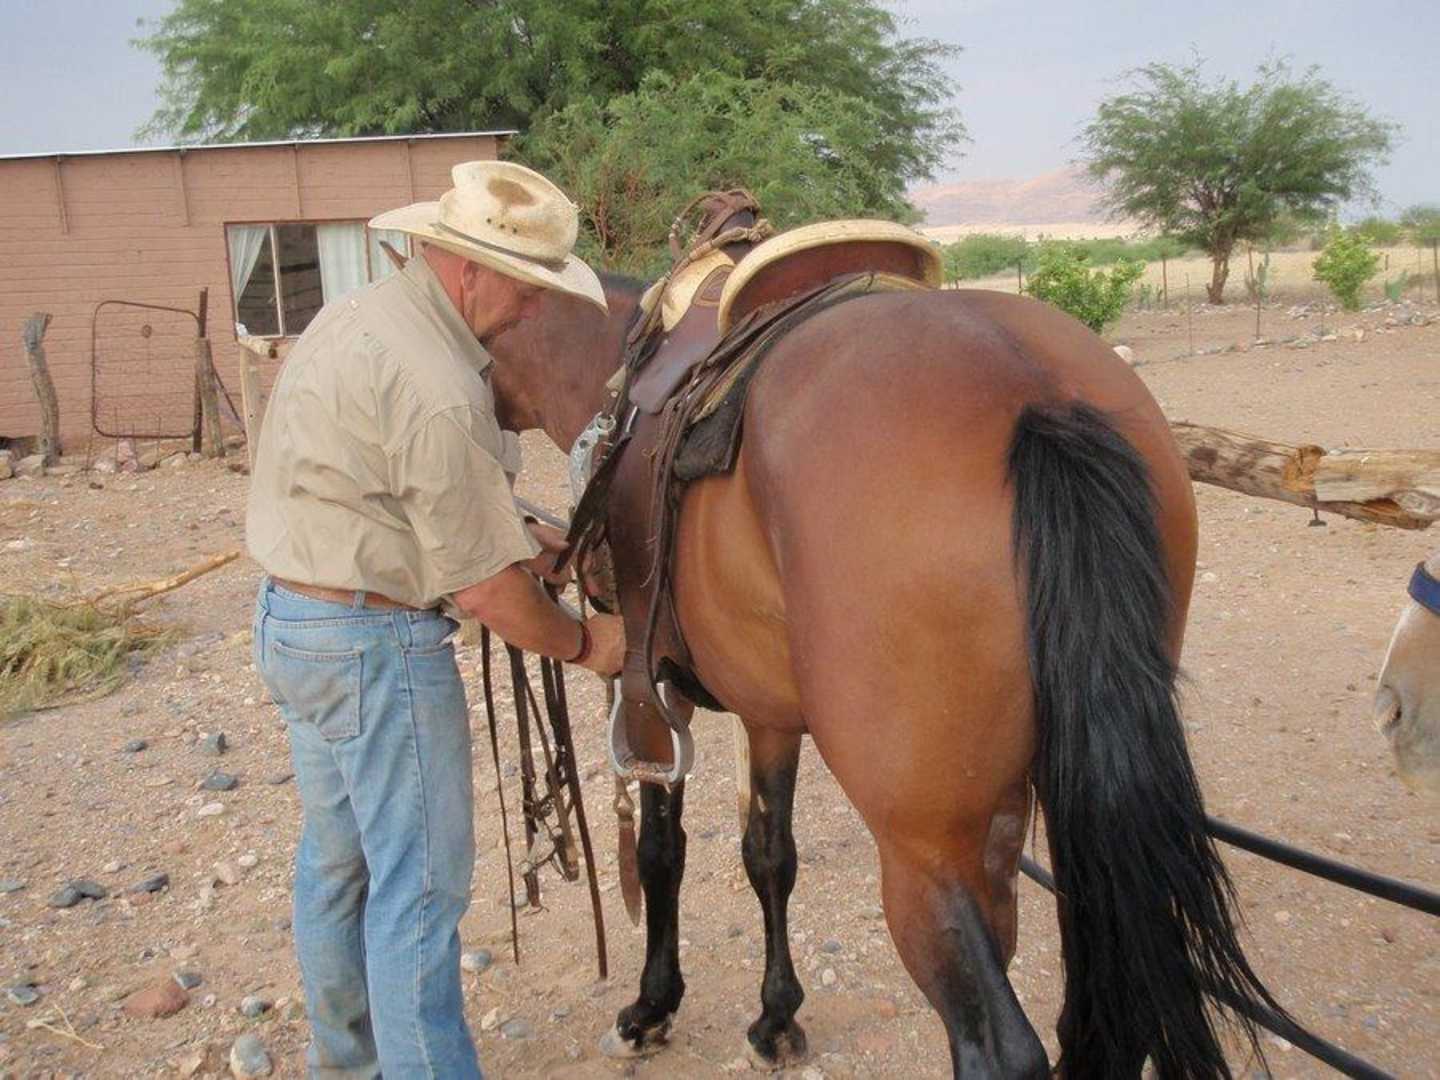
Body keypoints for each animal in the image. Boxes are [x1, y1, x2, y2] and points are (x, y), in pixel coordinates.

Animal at [486, 272, 1287, 1077]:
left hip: (922, 850)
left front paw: (651, 1008)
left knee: (999, 1045)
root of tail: (1035, 395)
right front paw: (776, 1019)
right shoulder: (767, 712)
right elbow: (768, 854)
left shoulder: (653, 692)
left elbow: (659, 853)